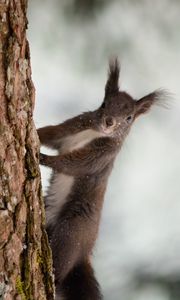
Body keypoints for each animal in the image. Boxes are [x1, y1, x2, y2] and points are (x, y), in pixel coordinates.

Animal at [38, 59, 165, 300]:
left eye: (129, 118)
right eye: (104, 104)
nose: (109, 122)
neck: (95, 133)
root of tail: (84, 253)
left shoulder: (100, 157)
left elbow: (74, 164)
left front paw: (43, 158)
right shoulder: (71, 128)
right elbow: (50, 133)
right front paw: (33, 131)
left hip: (72, 231)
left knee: (59, 266)